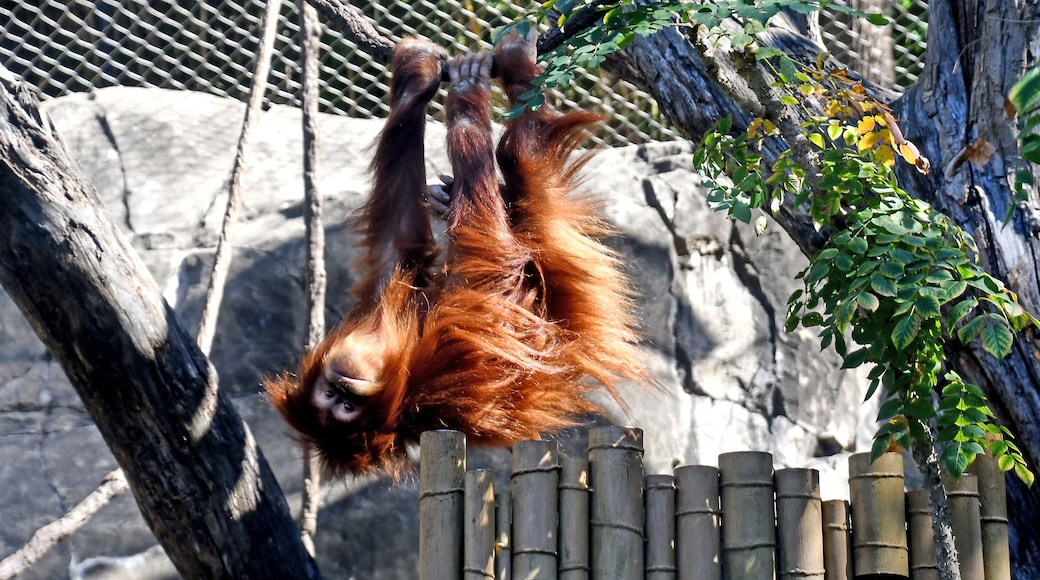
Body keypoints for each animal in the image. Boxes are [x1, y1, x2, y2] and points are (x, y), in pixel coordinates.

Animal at [264, 30, 650, 477]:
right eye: (340, 406)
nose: (342, 388)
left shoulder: (378, 310)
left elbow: (400, 229)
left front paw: (417, 76)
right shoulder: (445, 367)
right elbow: (493, 265)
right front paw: (465, 91)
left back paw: (453, 194)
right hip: (561, 249)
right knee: (523, 156)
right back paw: (516, 72)